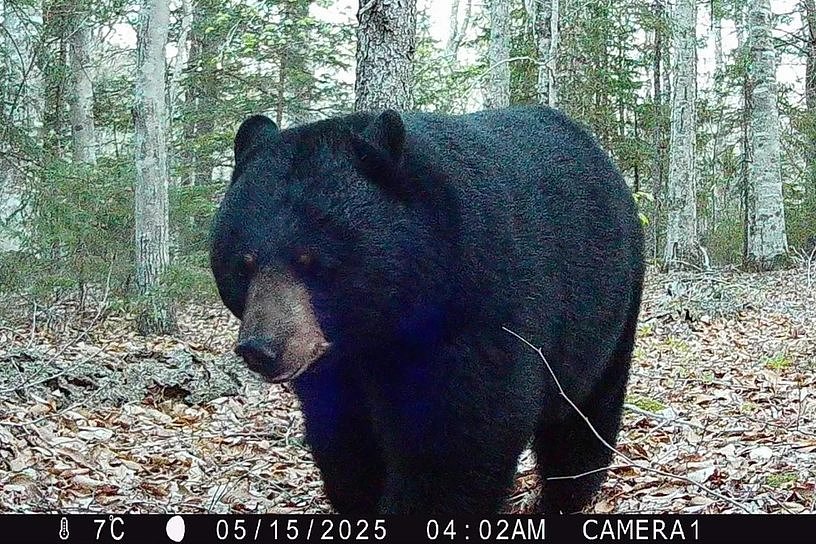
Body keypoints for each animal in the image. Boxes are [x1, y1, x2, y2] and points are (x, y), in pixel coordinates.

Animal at [210, 106, 645, 515]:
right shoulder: (337, 367)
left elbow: (458, 436)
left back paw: (565, 495)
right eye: (243, 264)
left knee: (584, 414)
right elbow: (344, 436)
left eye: (311, 261)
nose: (260, 348)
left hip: (608, 311)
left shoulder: (478, 310)